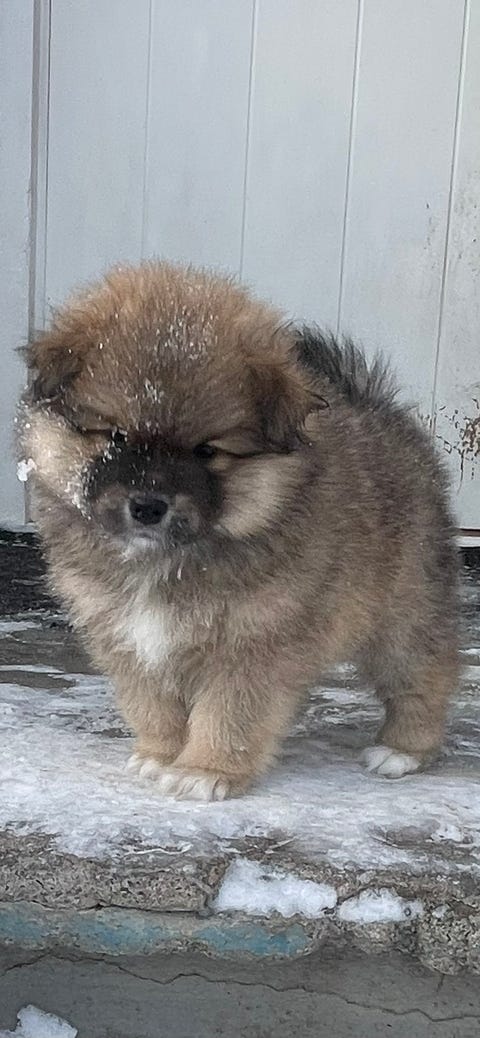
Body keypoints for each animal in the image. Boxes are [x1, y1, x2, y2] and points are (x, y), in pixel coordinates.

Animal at [17, 261, 459, 800]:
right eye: (117, 436)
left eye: (206, 451)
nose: (148, 506)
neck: (167, 560)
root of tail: (383, 412)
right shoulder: (126, 635)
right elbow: (153, 705)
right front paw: (161, 753)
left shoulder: (253, 639)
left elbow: (229, 712)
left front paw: (206, 770)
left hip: (402, 612)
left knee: (425, 673)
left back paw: (403, 749)